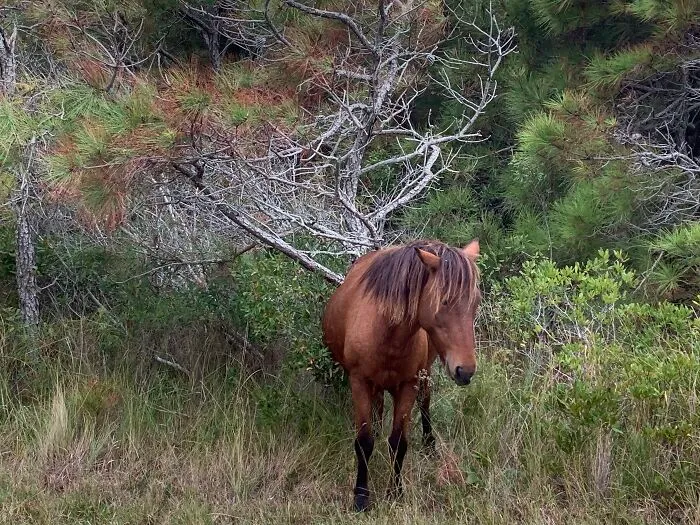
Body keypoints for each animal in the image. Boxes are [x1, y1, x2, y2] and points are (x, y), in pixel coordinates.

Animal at [322, 239, 481, 511]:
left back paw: (429, 444)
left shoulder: (408, 385)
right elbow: (364, 441)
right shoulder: (359, 382)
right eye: (444, 301)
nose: (466, 371)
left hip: (424, 373)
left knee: (425, 403)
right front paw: (361, 497)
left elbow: (398, 443)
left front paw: (395, 491)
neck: (386, 331)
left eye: (475, 302)